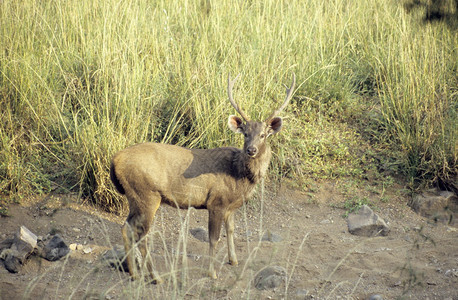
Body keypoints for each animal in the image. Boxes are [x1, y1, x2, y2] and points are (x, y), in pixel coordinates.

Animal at [111, 72, 296, 282]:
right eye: (246, 134)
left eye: (264, 134)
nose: (251, 150)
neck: (239, 176)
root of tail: (115, 160)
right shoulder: (216, 201)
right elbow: (213, 238)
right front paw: (212, 272)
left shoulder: (231, 206)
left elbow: (231, 229)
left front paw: (233, 260)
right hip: (147, 194)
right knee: (141, 234)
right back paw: (155, 276)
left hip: (135, 197)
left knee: (126, 228)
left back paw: (134, 273)